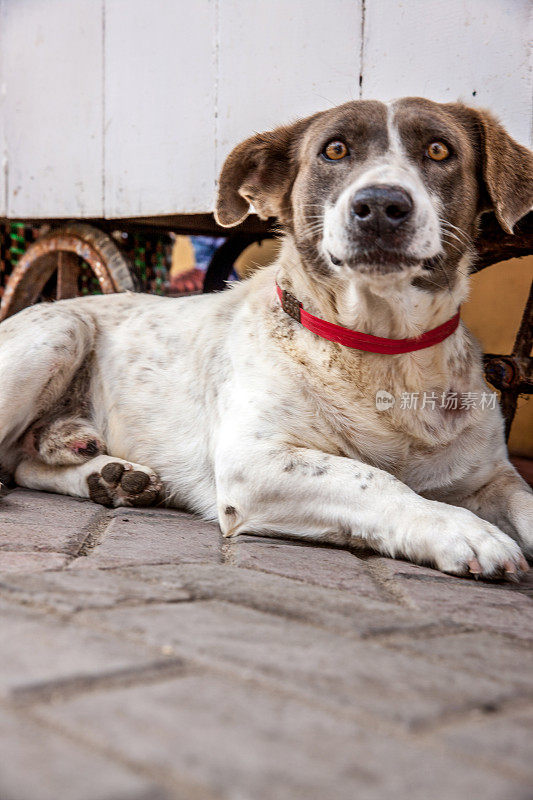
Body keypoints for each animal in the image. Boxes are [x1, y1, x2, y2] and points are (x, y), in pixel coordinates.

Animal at [1, 97, 532, 580]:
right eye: (335, 149)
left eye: (439, 150)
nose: (382, 204)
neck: (384, 353)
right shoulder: (253, 462)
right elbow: (374, 478)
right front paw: (460, 529)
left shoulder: (491, 475)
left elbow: (523, 497)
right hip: (62, 328)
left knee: (22, 462)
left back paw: (108, 476)